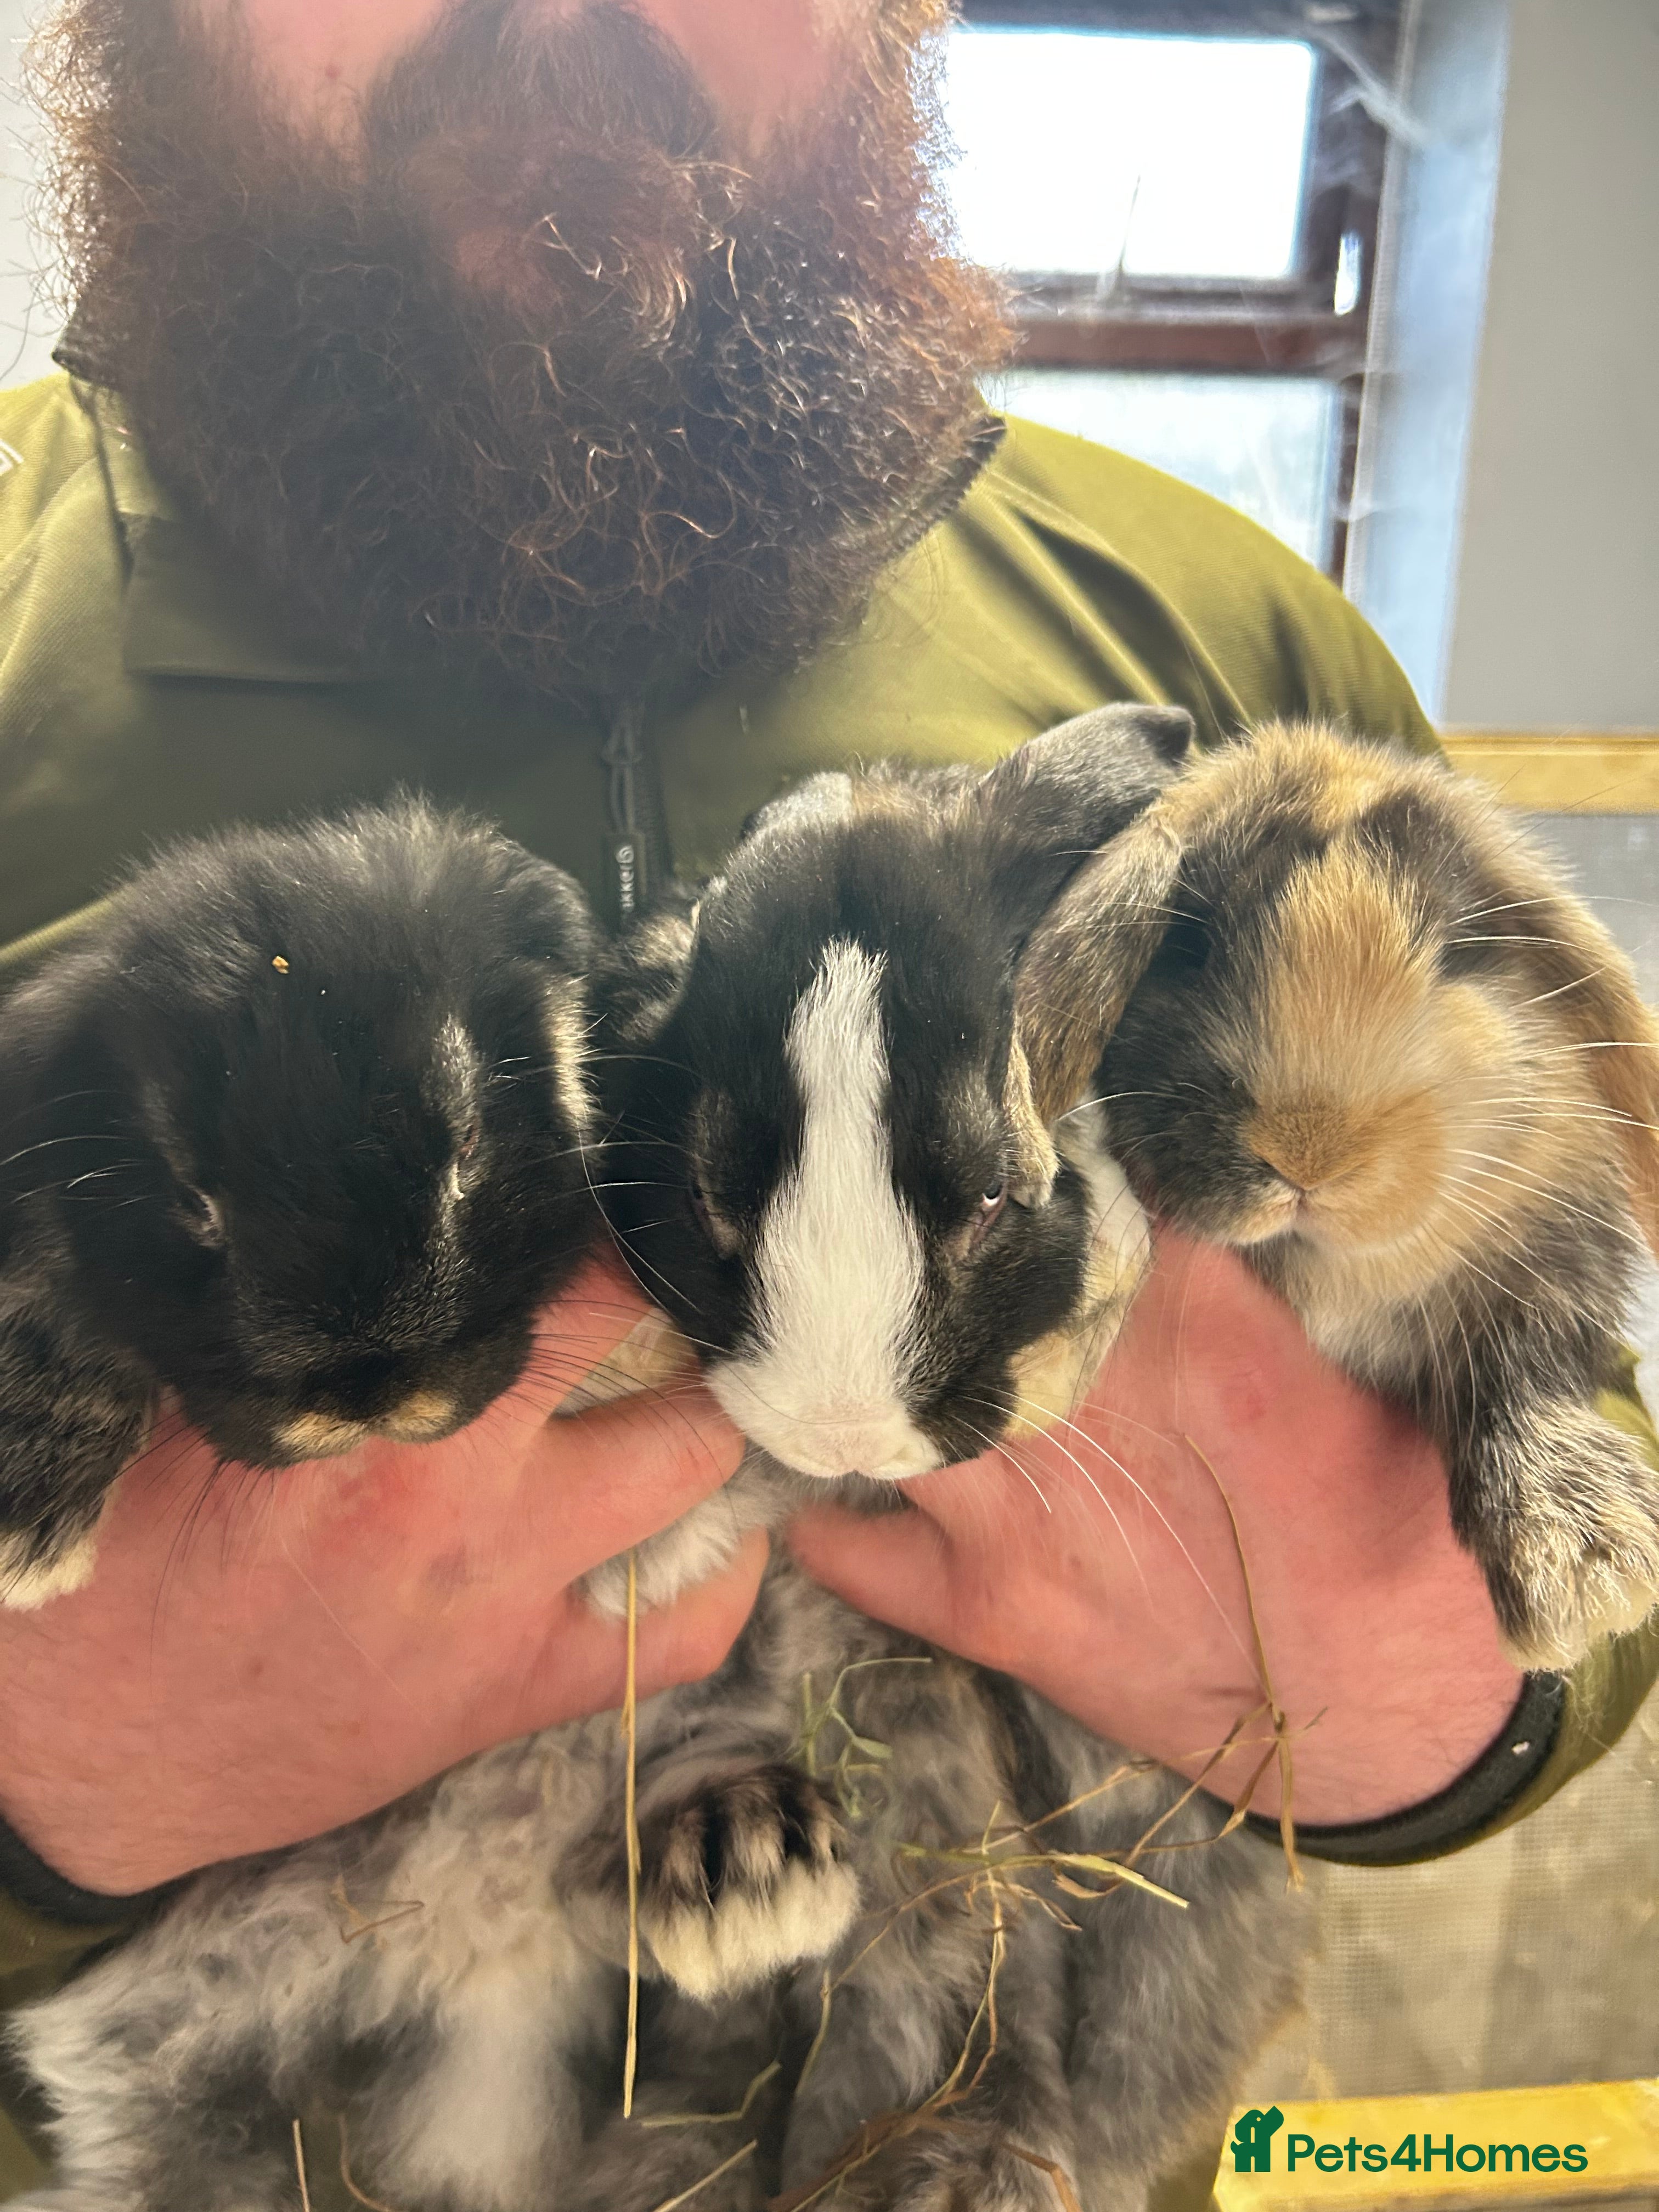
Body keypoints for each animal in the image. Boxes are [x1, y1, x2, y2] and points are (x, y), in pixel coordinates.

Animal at [1014, 718, 1659, 1671]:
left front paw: (1586, 1577)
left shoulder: (1545, 1271)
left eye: (1461, 951)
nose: (1309, 1152)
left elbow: (1525, 1380)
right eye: (1190, 944)